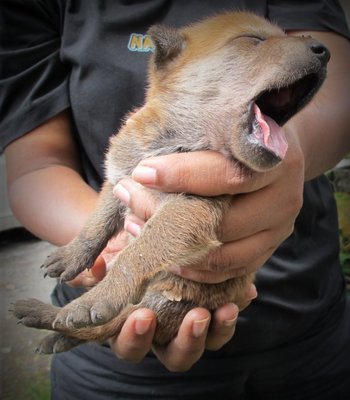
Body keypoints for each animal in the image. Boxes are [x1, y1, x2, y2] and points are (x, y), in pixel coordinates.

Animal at [12, 11, 330, 354]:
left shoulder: (190, 208)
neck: (170, 142)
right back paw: (49, 322)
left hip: (160, 301)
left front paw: (97, 298)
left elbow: (138, 251)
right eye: (253, 39)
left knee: (112, 324)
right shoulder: (120, 179)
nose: (324, 50)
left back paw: (55, 317)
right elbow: (96, 224)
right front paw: (70, 255)